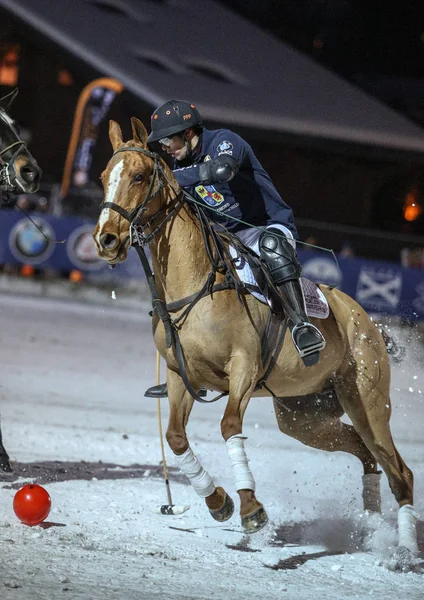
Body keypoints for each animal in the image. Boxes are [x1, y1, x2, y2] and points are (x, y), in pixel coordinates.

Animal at [93, 118, 420, 568]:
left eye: (140, 176)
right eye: (104, 176)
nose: (106, 239)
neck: (194, 283)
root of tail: (368, 322)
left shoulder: (243, 368)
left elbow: (230, 426)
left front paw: (250, 509)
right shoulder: (181, 374)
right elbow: (175, 437)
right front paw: (218, 502)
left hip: (368, 402)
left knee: (399, 470)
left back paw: (403, 551)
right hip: (304, 416)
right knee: (365, 453)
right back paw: (370, 526)